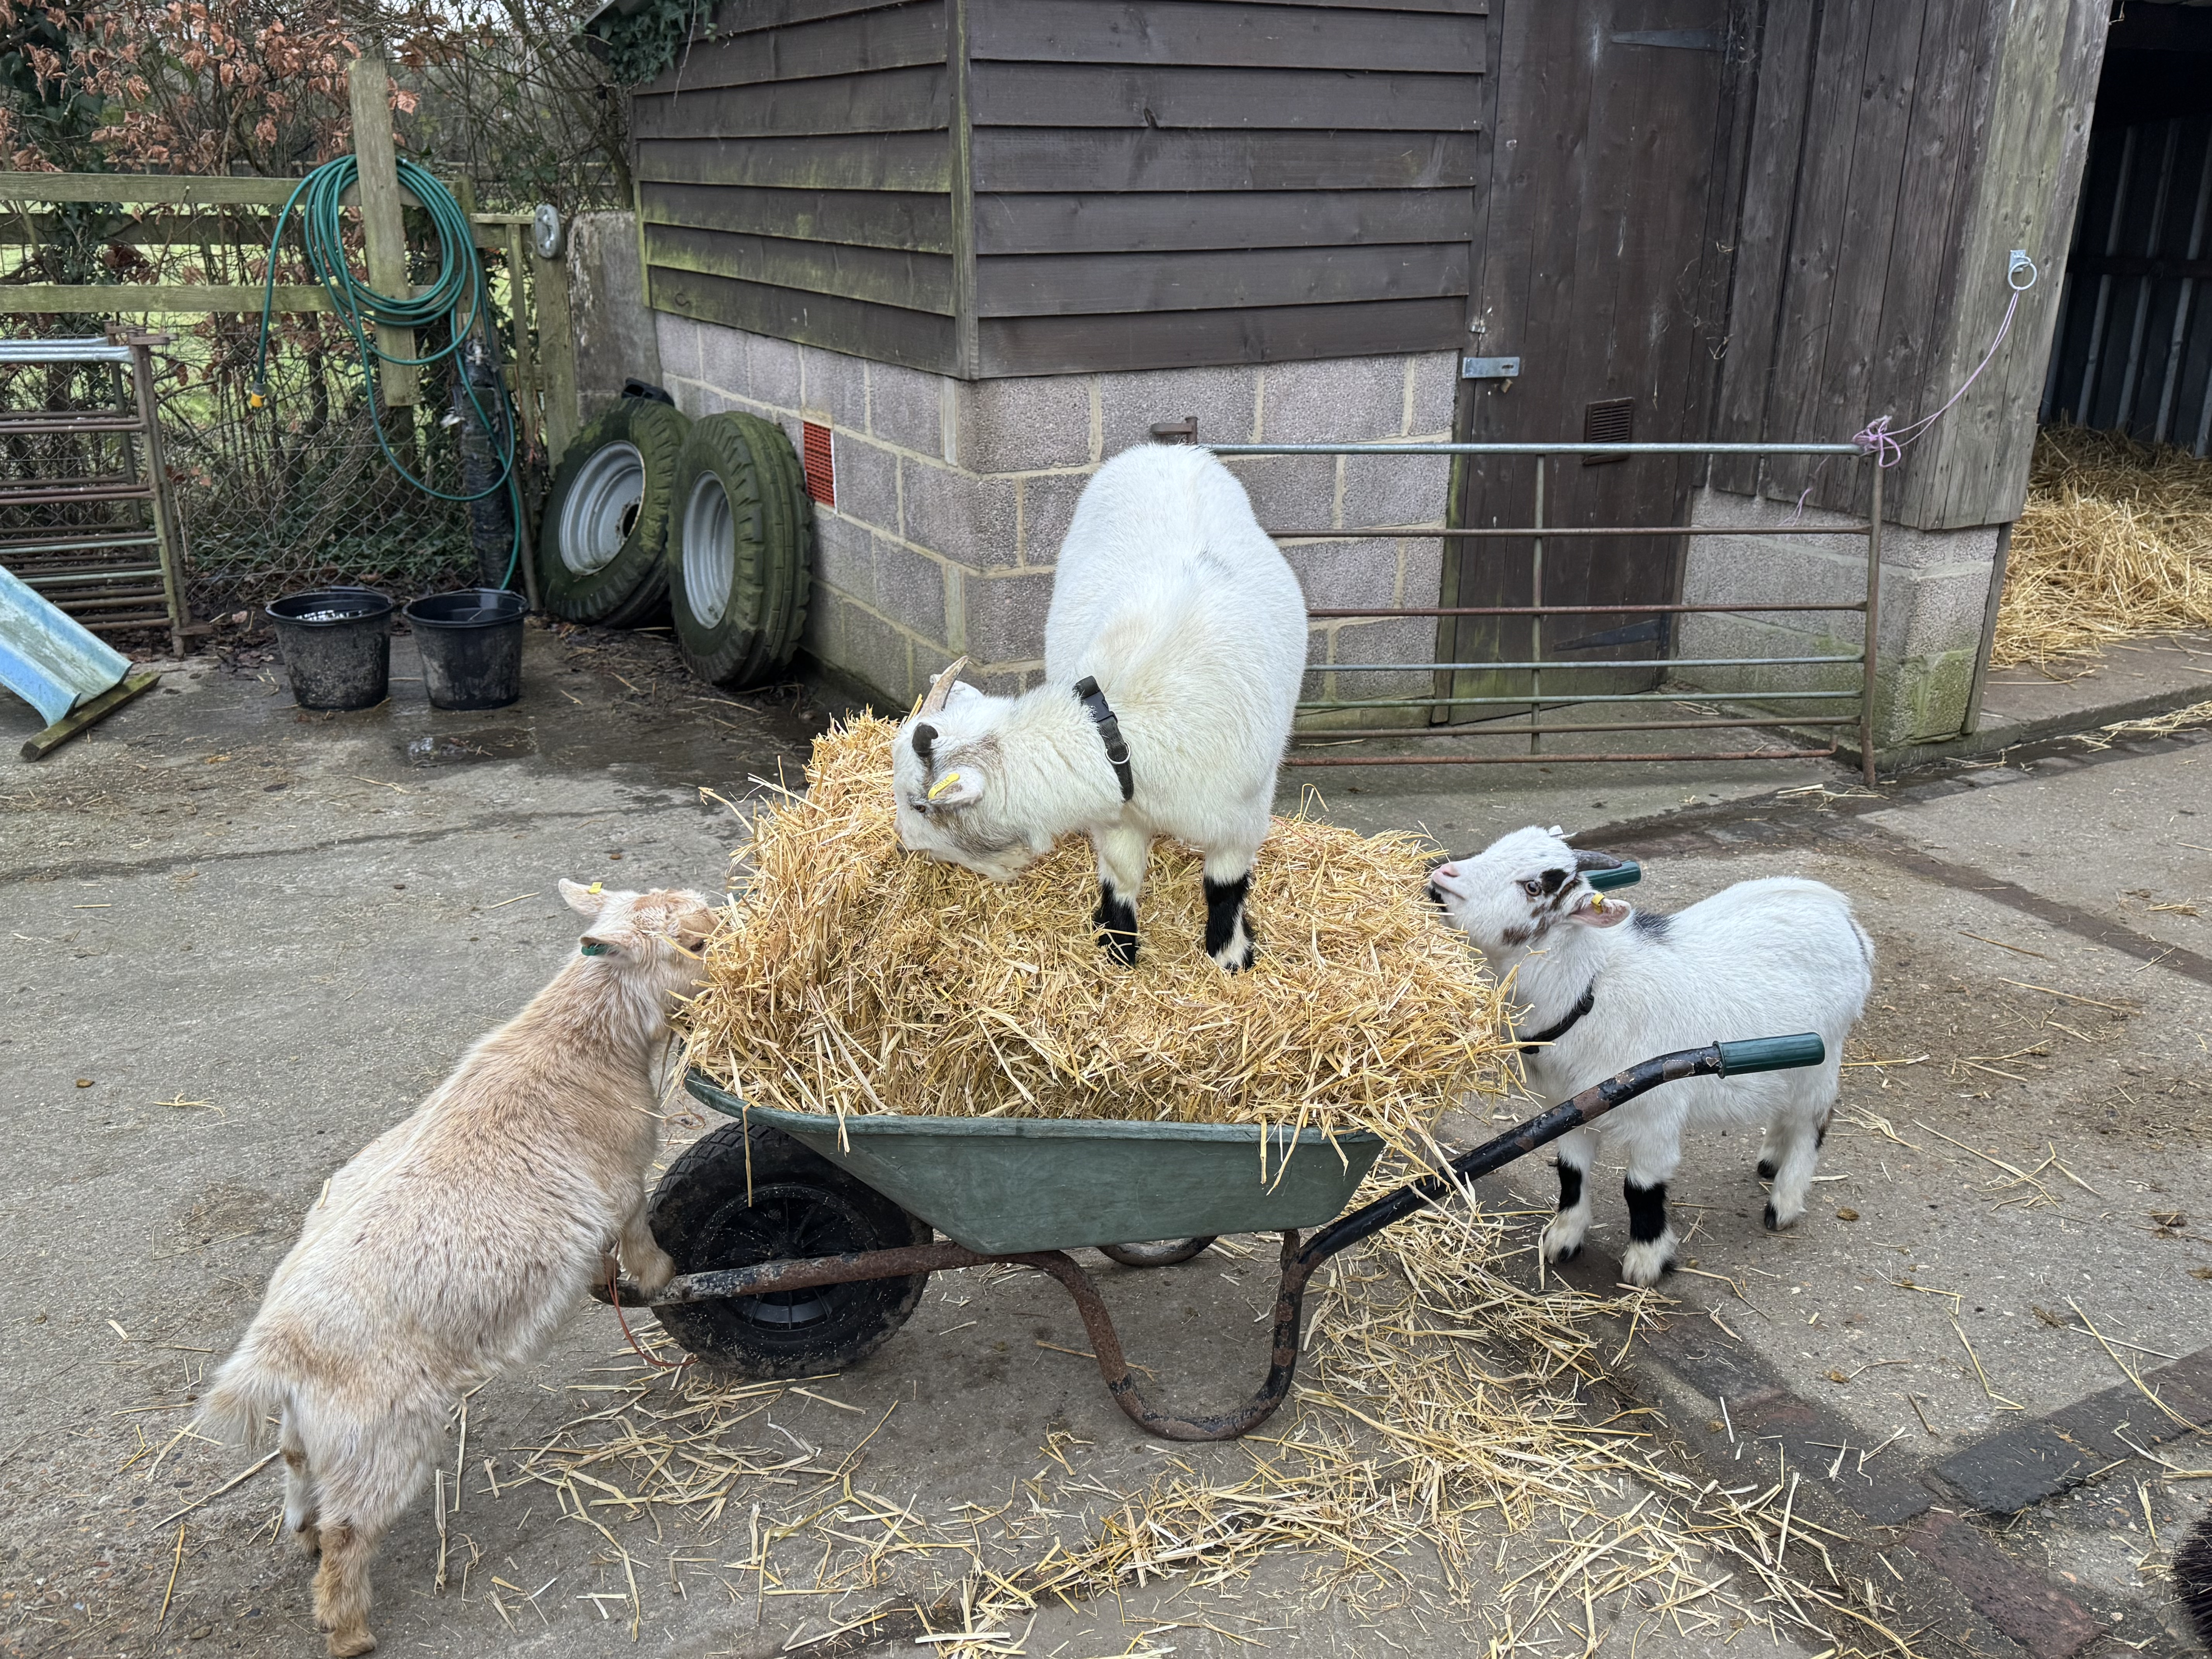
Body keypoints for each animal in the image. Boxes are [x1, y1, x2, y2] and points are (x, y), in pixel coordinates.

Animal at [197, 880, 713, 1657]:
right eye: (695, 943)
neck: (582, 1044)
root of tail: (277, 1352)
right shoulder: (624, 1183)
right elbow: (639, 1235)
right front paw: (656, 1276)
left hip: (315, 1432)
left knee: (297, 1481)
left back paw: (306, 1540)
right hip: (382, 1439)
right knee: (350, 1532)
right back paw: (349, 1630)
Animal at [891, 443, 1307, 971]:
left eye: (920, 805)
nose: (902, 844)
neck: (1126, 724)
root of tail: (1168, 448)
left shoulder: (1242, 821)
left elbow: (1224, 886)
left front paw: (1229, 954)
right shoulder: (1118, 816)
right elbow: (1122, 876)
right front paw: (1118, 946)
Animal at [1427, 826, 1872, 1287]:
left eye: (1534, 886)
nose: (1441, 876)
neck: (1590, 990)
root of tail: (1840, 912)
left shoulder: (1654, 1113)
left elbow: (1640, 1189)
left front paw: (1646, 1262)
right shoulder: (1568, 1107)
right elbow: (1571, 1171)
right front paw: (1563, 1241)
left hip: (1822, 1056)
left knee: (1812, 1123)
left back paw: (1784, 1202)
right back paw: (1770, 1161)